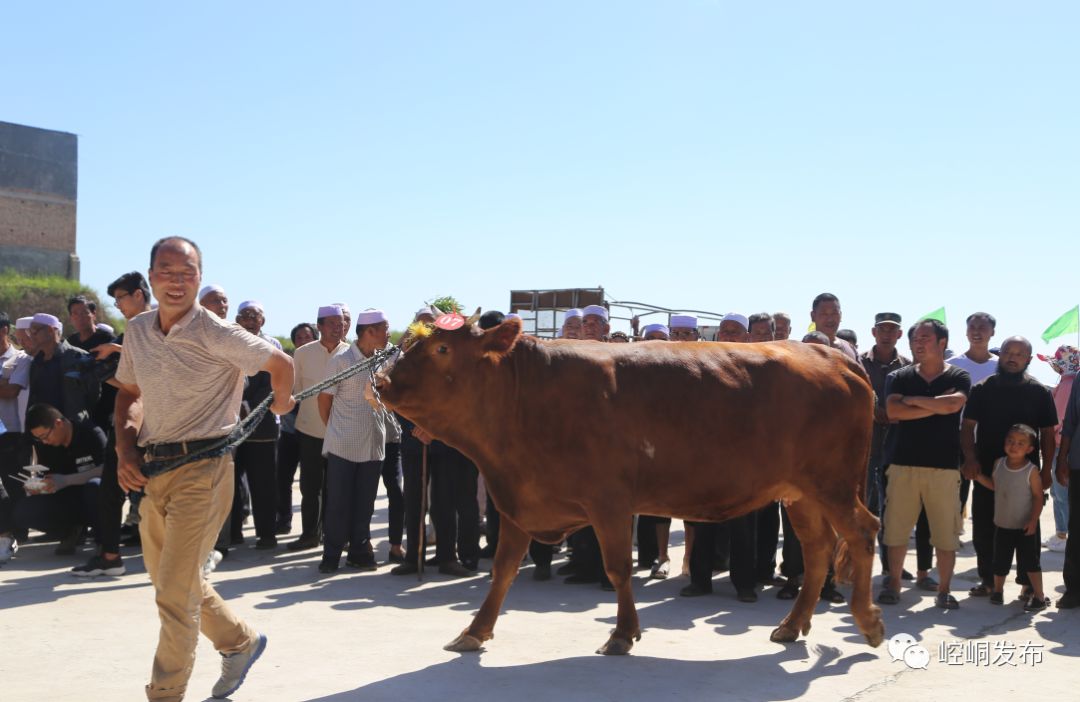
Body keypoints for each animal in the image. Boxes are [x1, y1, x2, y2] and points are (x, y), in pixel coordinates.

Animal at [375, 317, 881, 656]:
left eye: (442, 349)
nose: (381, 380)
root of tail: (834, 358)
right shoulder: (519, 501)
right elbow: (502, 570)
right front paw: (474, 632)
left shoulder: (609, 502)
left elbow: (618, 567)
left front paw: (622, 634)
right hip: (801, 493)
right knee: (818, 549)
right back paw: (792, 626)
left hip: (833, 484)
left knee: (862, 531)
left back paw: (868, 622)